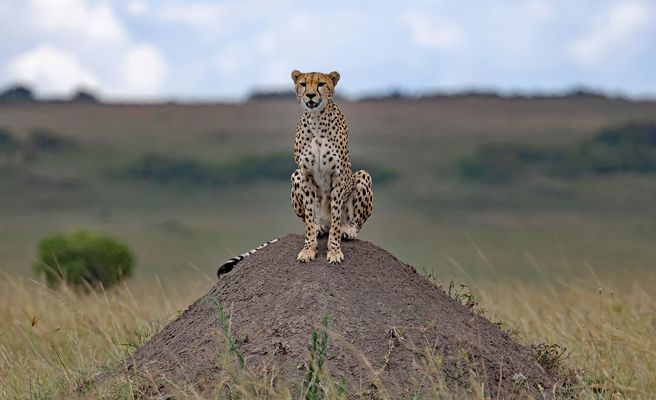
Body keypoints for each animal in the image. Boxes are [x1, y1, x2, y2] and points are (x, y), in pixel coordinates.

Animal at [290, 69, 374, 264]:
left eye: (321, 84)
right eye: (303, 84)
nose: (310, 95)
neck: (316, 120)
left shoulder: (338, 177)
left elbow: (335, 218)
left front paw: (334, 251)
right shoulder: (305, 175)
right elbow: (309, 220)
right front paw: (308, 250)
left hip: (363, 175)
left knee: (352, 222)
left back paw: (349, 229)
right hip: (295, 175)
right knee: (315, 221)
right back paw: (319, 226)